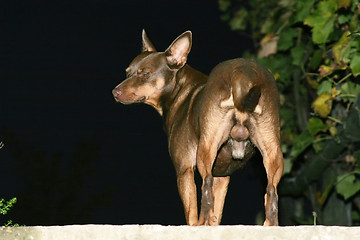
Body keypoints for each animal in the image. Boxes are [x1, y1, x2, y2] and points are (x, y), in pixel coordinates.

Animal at [112, 30, 284, 227]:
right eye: (127, 73)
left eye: (145, 74)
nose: (114, 92)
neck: (180, 90)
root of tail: (244, 74)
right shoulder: (222, 175)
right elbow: (216, 213)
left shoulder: (184, 169)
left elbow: (192, 211)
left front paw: (197, 225)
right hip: (272, 153)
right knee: (272, 193)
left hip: (206, 148)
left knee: (206, 187)